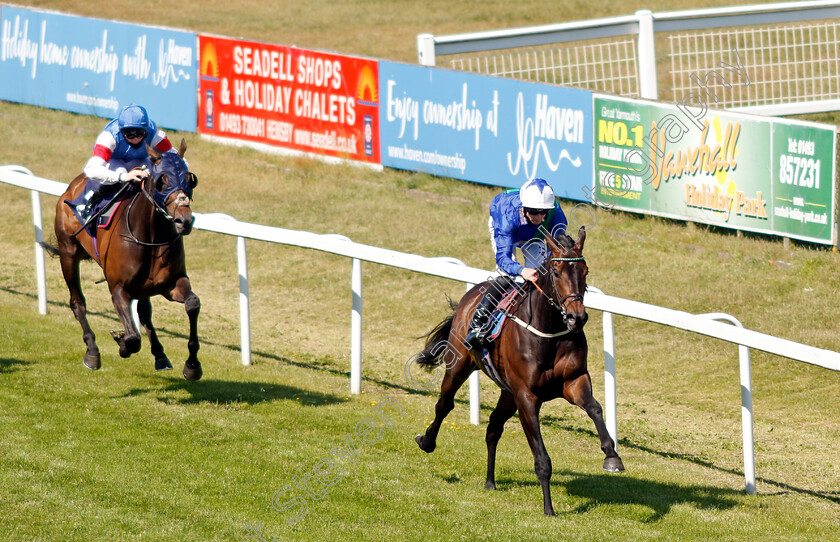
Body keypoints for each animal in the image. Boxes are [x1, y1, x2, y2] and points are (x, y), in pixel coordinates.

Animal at [48, 138, 203, 380]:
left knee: (145, 312)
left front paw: (192, 365)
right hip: (68, 254)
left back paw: (160, 355)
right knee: (77, 302)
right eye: (162, 180)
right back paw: (92, 351)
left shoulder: (172, 283)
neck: (151, 236)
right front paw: (122, 343)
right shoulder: (118, 288)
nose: (184, 221)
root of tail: (72, 186)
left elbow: (193, 304)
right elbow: (132, 338)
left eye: (190, 179)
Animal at [414, 227, 624, 516]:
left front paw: (612, 456)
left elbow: (595, 408)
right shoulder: (526, 396)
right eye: (556, 272)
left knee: (493, 426)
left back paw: (490, 481)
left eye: (585, 271)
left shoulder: (573, 381)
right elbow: (541, 457)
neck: (549, 332)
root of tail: (472, 294)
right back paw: (427, 441)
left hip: (508, 392)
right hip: (459, 366)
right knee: (444, 404)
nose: (576, 318)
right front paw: (549, 508)